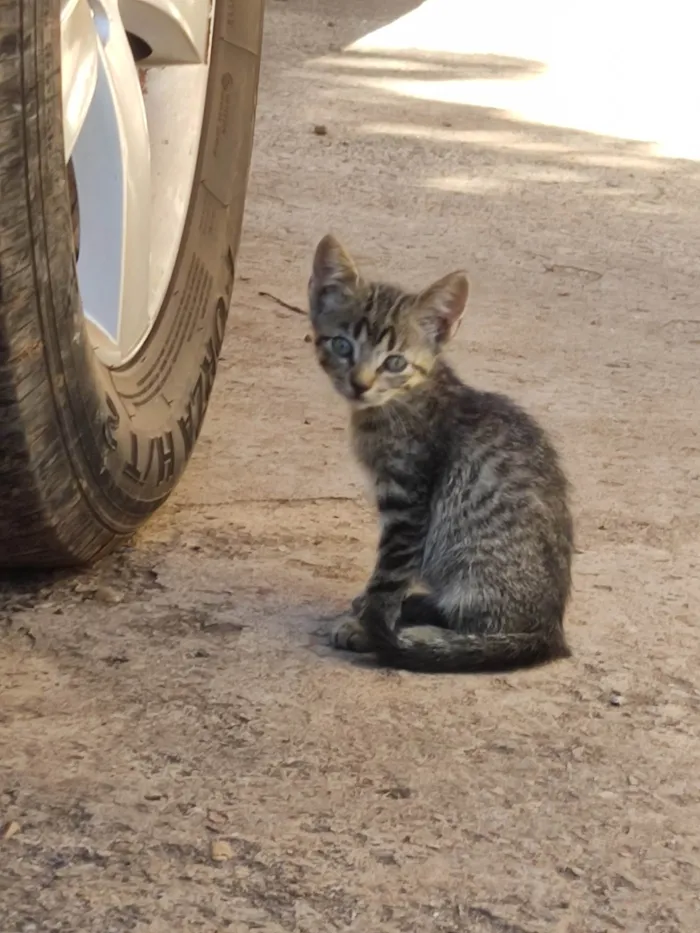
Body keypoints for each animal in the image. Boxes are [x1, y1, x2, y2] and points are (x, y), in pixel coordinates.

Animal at [308, 233, 572, 668]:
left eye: (395, 362)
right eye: (342, 345)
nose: (359, 384)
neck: (403, 400)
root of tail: (551, 630)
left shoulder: (408, 502)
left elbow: (389, 577)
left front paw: (367, 628)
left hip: (469, 557)